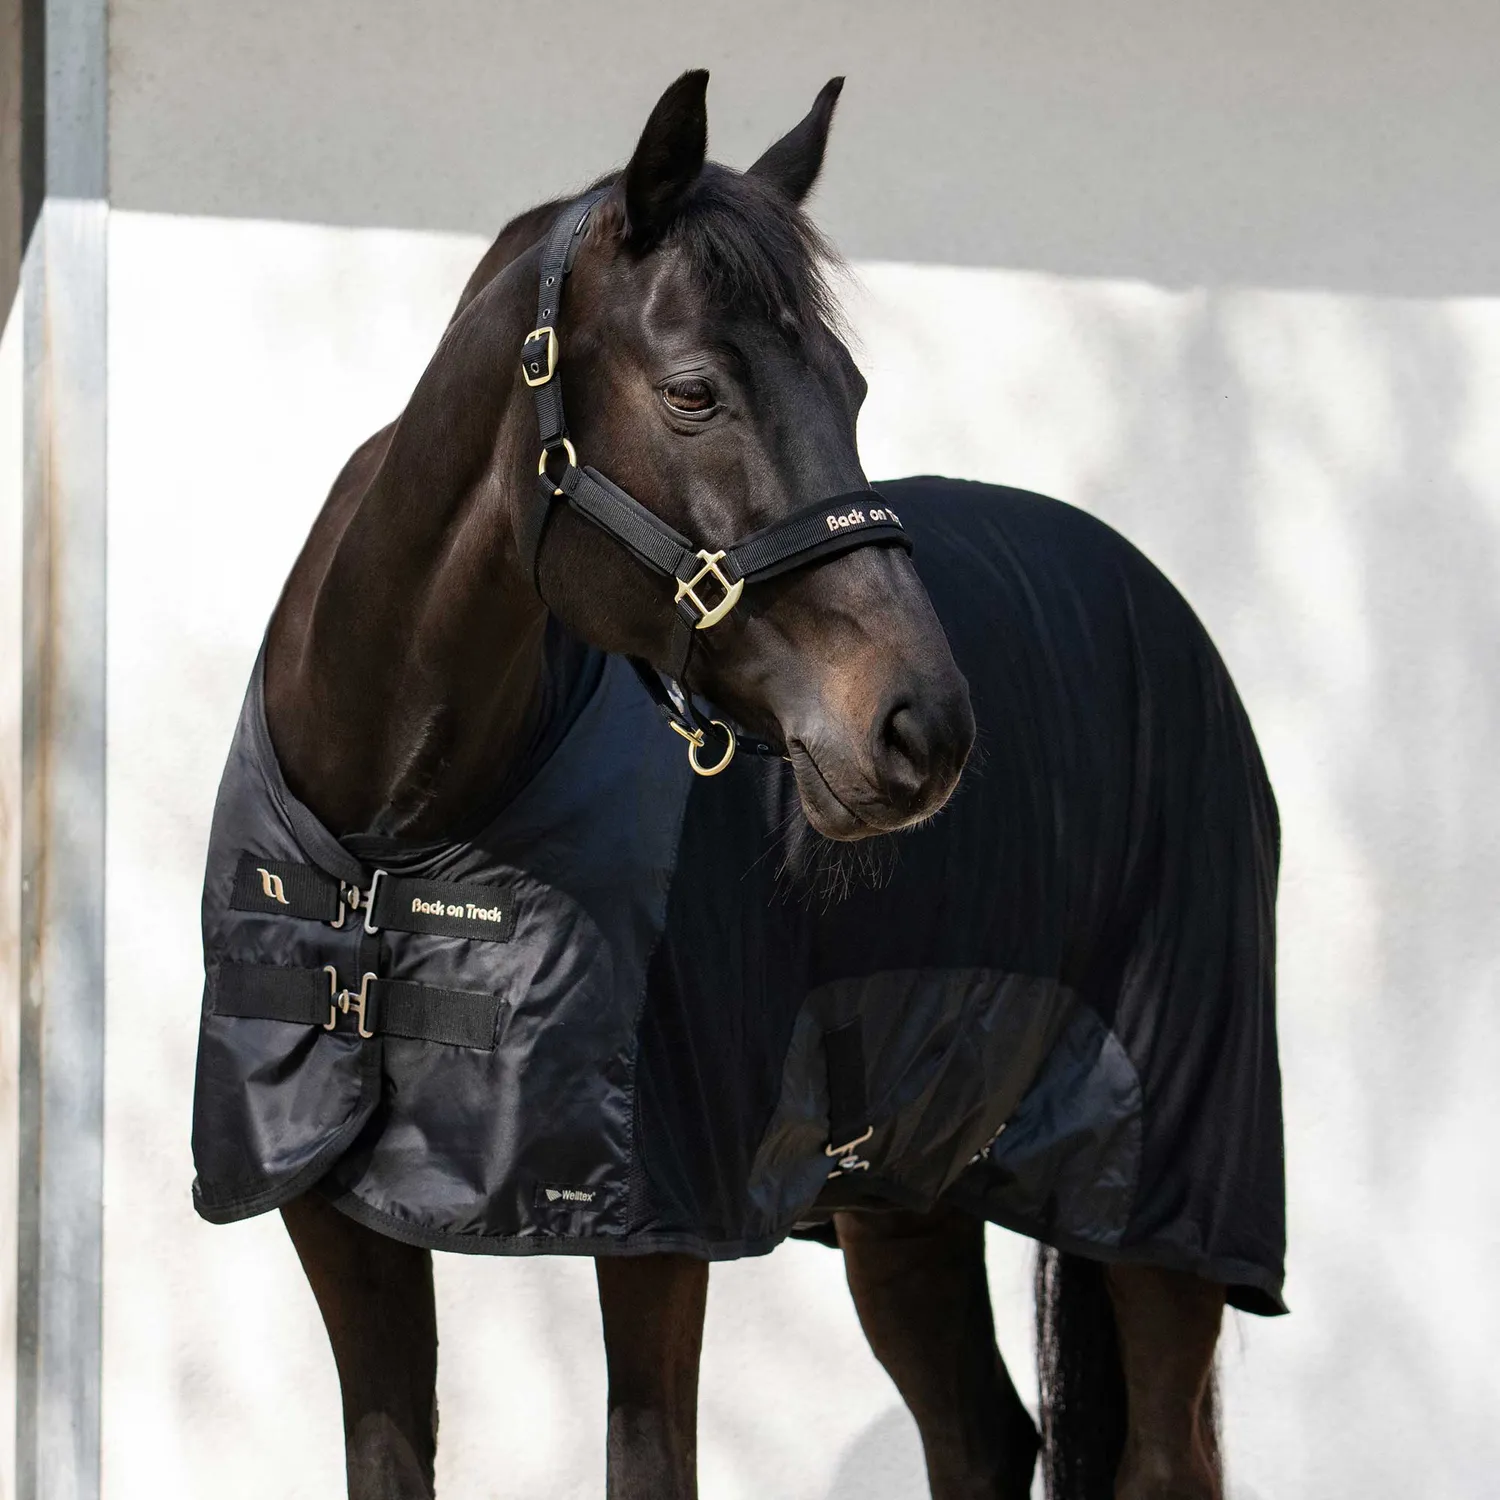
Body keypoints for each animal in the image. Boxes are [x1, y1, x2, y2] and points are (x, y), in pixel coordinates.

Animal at [191, 71, 1283, 1499]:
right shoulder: (334, 1222)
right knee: (982, 1435)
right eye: (696, 392)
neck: (400, 835)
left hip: (1163, 1209)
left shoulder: (658, 1234)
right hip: (905, 1200)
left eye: (852, 388)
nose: (923, 728)